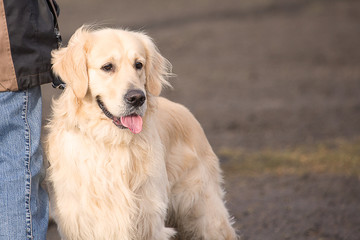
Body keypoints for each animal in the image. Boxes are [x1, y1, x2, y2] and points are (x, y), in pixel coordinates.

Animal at [45, 26, 236, 240]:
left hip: (206, 212)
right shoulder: (79, 221)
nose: (137, 98)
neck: (111, 141)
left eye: (138, 65)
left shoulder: (149, 217)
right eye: (107, 67)